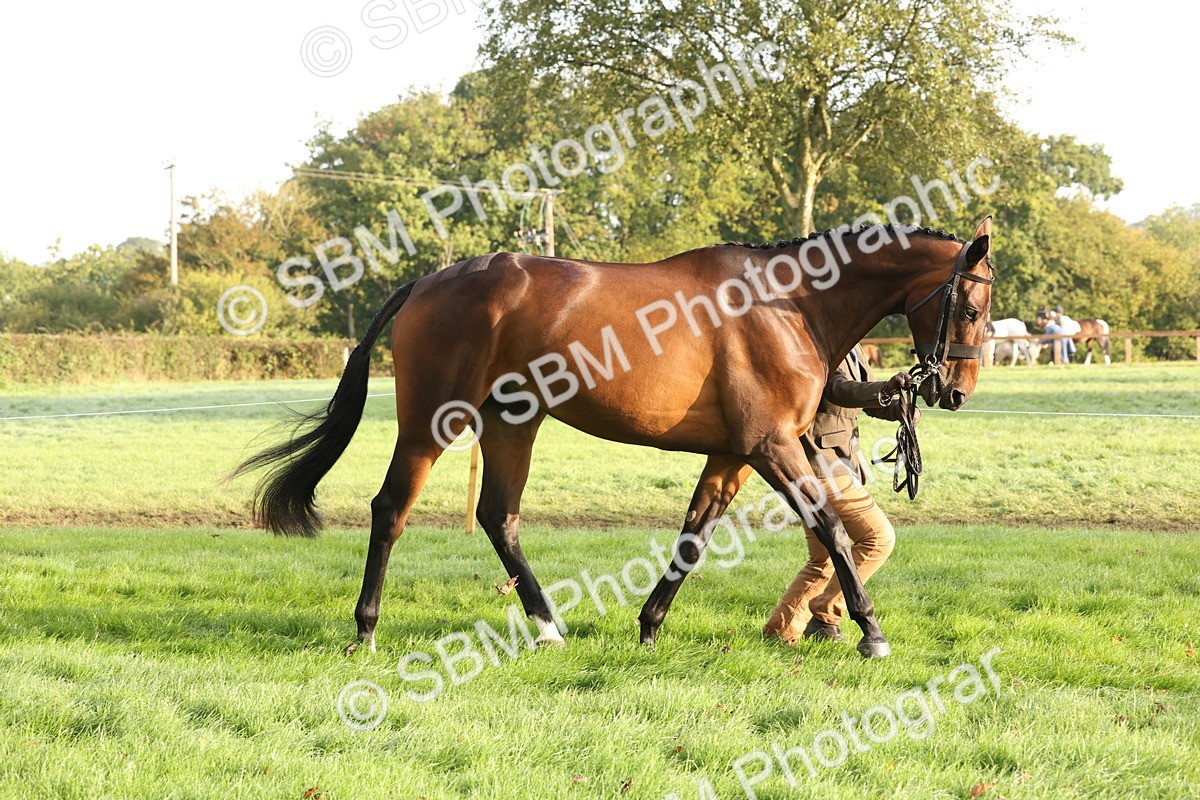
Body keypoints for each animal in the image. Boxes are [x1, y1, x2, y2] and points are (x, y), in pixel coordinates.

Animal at [233, 218, 995, 660]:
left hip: (513, 421)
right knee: (391, 509)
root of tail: (427, 280)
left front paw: (650, 624)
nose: (953, 390)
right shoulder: (770, 446)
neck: (790, 305)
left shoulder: (732, 454)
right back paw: (364, 628)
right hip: (431, 422)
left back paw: (547, 627)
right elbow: (834, 530)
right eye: (972, 305)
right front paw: (870, 631)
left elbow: (693, 536)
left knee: (499, 516)